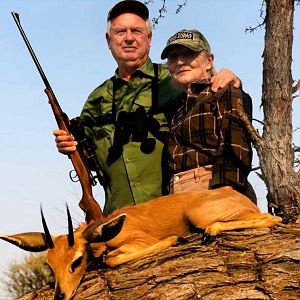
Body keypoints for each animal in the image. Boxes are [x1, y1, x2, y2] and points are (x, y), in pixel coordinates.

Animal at [0, 186, 282, 298]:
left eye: (76, 261)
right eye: (50, 266)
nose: (61, 296)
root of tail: (236, 196)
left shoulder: (137, 241)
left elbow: (112, 259)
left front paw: (175, 238)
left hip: (198, 215)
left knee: (272, 218)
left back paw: (208, 233)